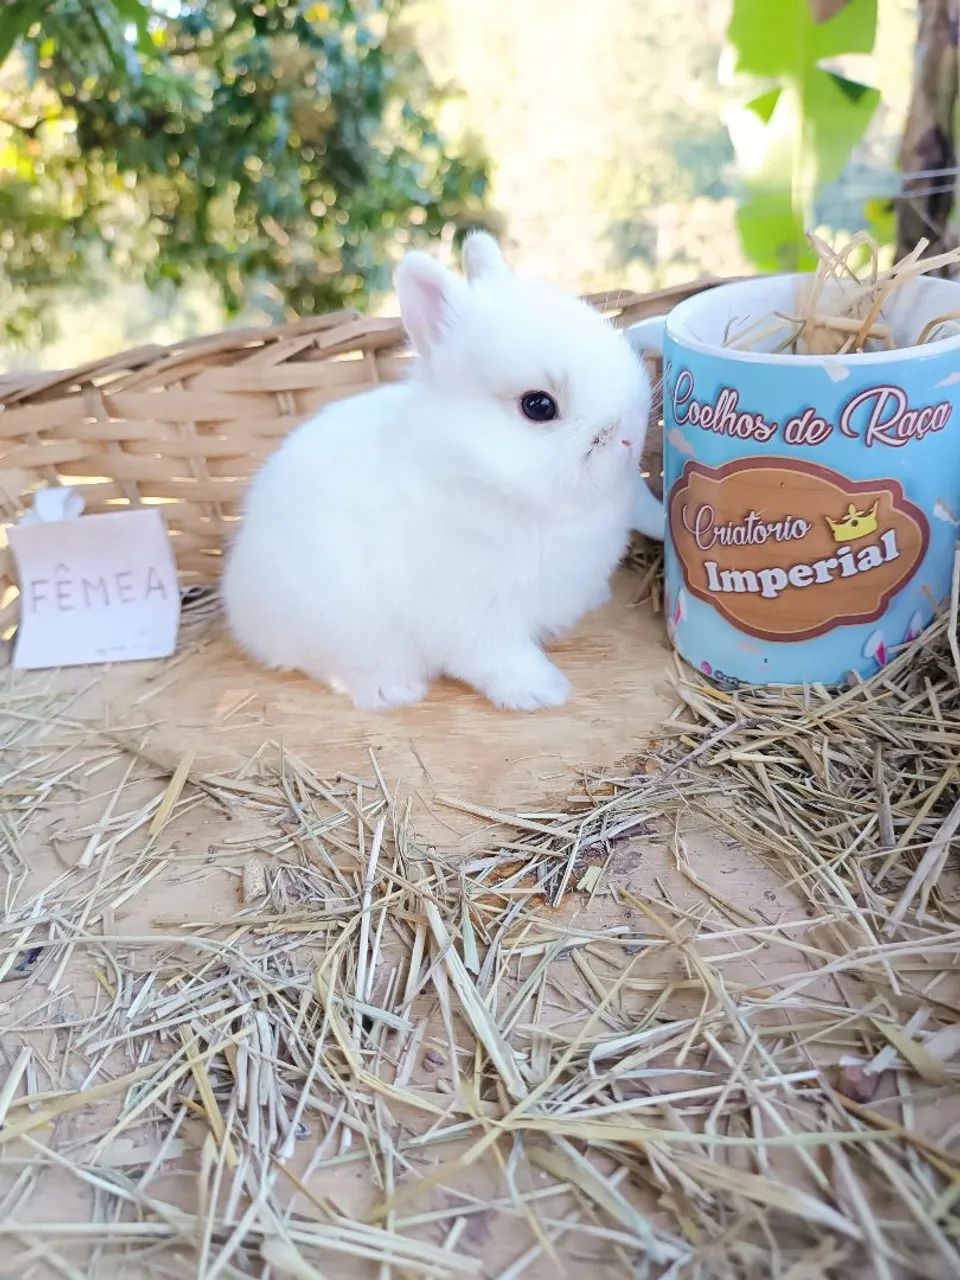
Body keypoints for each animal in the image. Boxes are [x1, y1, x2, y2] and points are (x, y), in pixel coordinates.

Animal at [221, 232, 663, 712]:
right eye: (538, 405)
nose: (630, 435)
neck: (477, 472)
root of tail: (238, 596)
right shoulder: (472, 618)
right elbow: (500, 658)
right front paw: (543, 692)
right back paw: (392, 690)